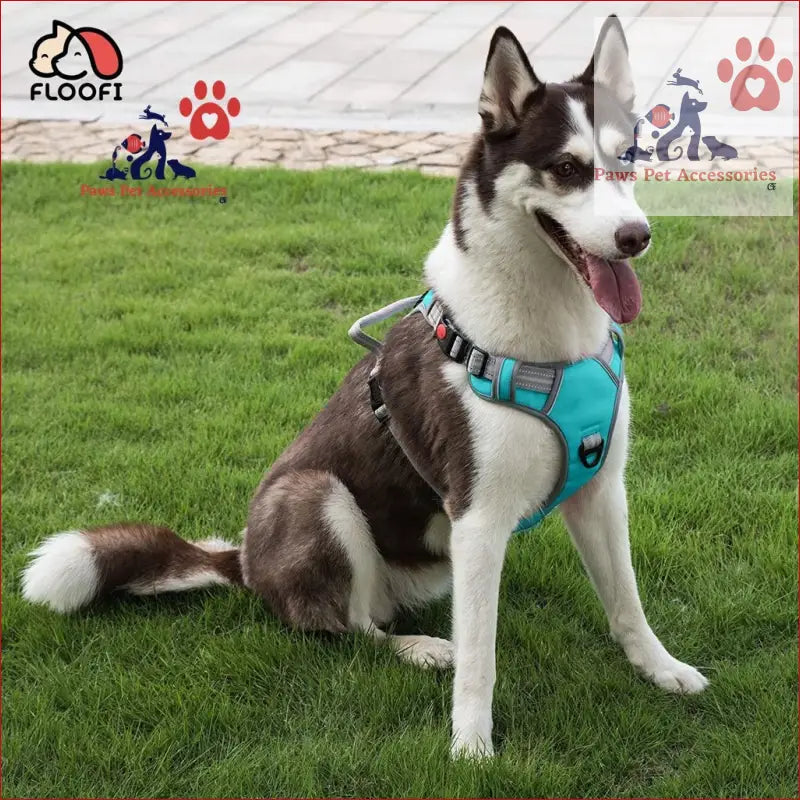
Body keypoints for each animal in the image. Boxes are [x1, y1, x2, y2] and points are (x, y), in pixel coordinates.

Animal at [21, 17, 708, 756]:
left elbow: (626, 601)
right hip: (316, 495)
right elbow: (482, 657)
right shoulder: (477, 516)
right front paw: (471, 746)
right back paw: (418, 648)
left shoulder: (601, 491)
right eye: (568, 169)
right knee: (348, 629)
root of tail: (245, 563)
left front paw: (659, 668)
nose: (636, 237)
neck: (550, 335)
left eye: (627, 158)